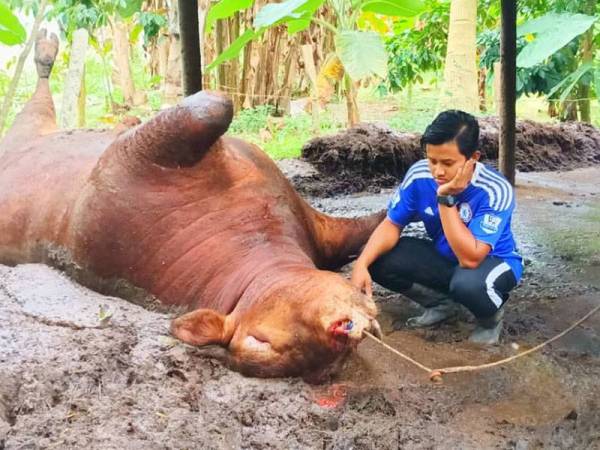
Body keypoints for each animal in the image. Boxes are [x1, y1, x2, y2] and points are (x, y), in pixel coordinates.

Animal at [0, 31, 384, 382]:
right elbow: (212, 106)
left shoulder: (304, 218)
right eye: (261, 341)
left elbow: (362, 232)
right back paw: (46, 51)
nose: (342, 333)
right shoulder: (121, 180)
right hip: (24, 135)